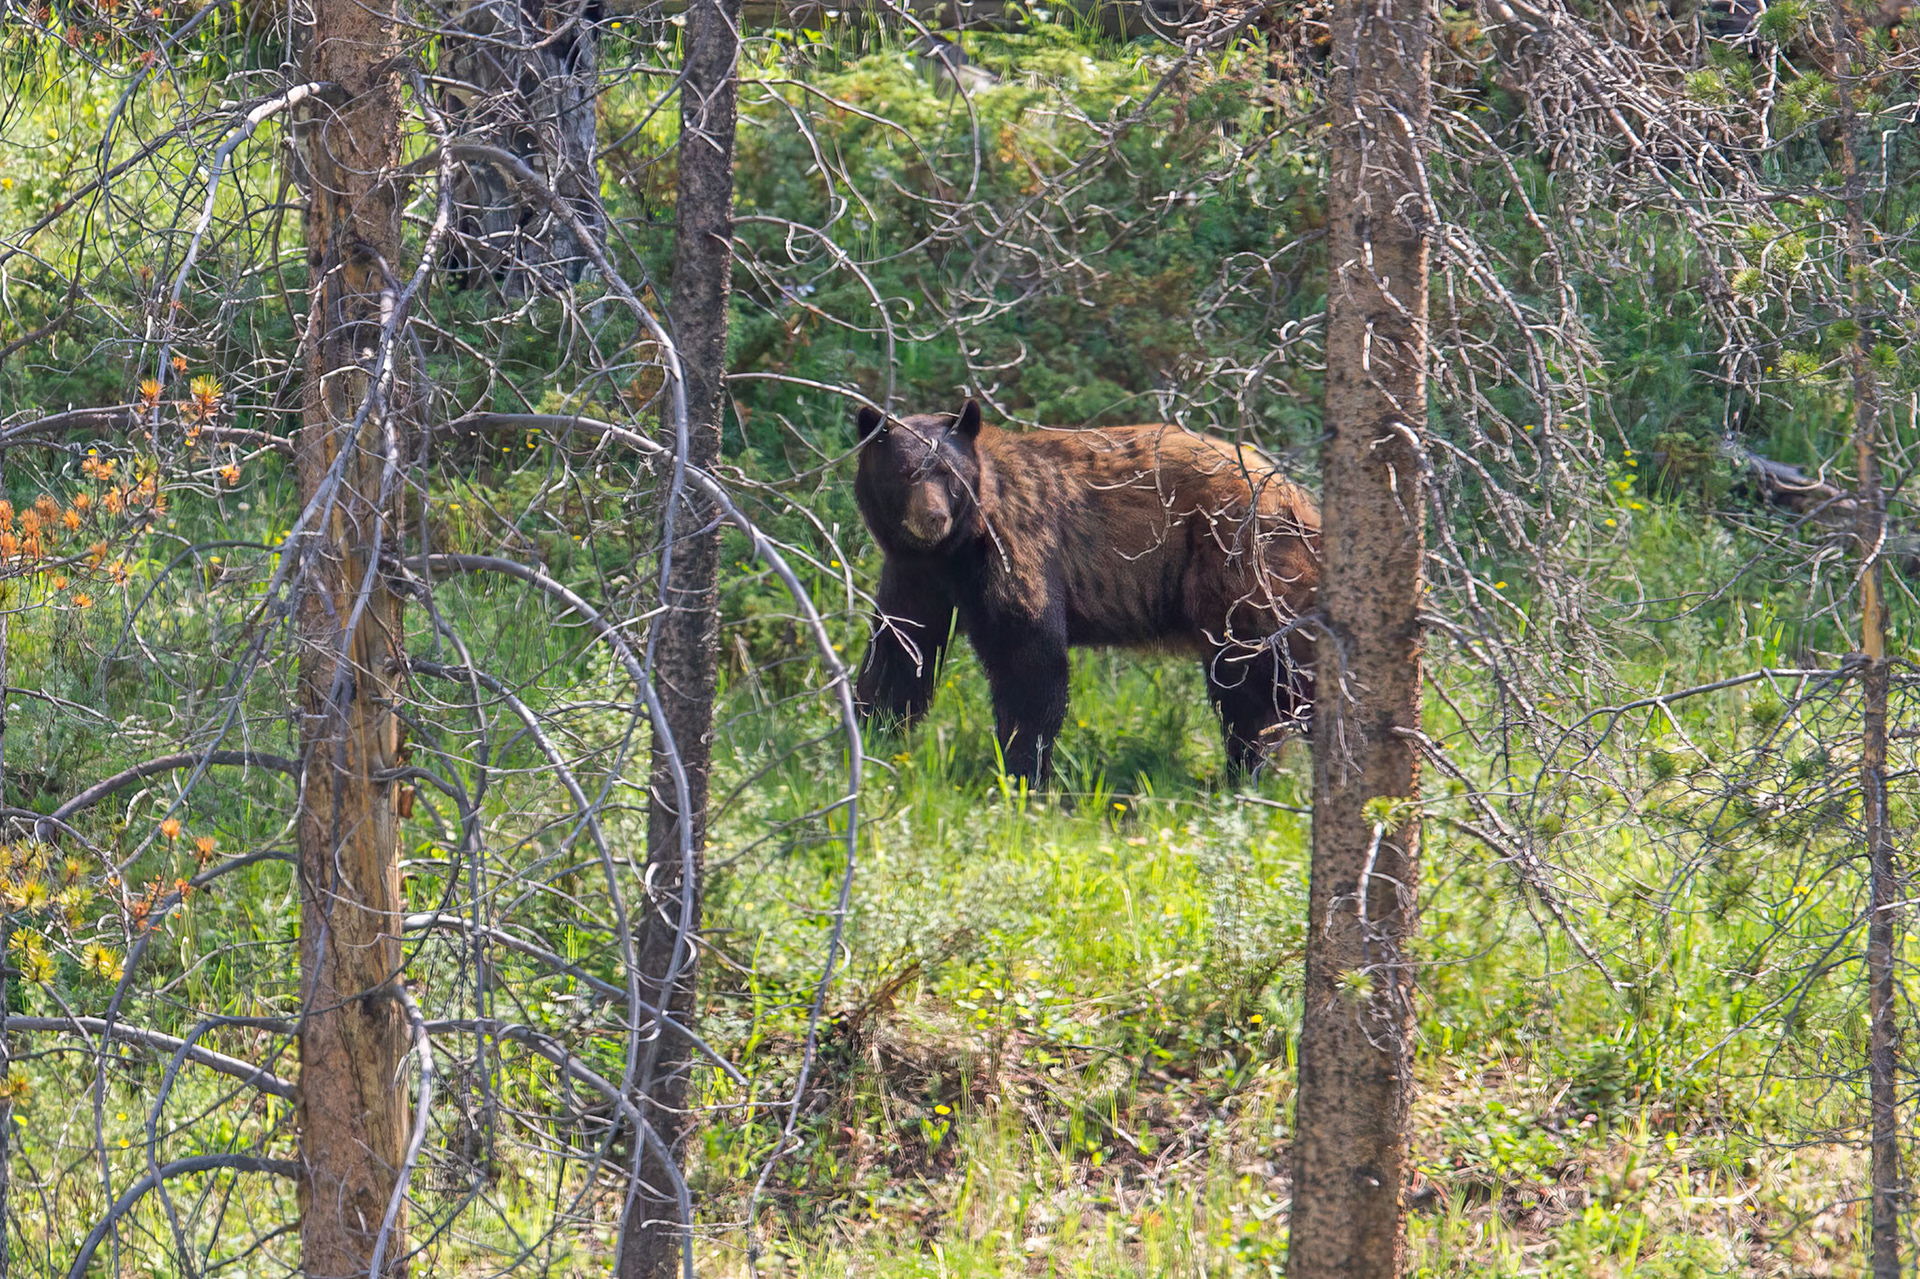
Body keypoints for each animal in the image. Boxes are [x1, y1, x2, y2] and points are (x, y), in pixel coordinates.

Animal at [853, 399, 1320, 784]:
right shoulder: (915, 572)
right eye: (905, 474)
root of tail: (1295, 495)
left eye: (949, 475)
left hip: (1238, 571)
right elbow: (901, 649)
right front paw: (872, 733)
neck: (956, 547)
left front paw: (1022, 771)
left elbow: (1029, 658)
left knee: (1263, 677)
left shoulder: (1015, 546)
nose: (933, 517)